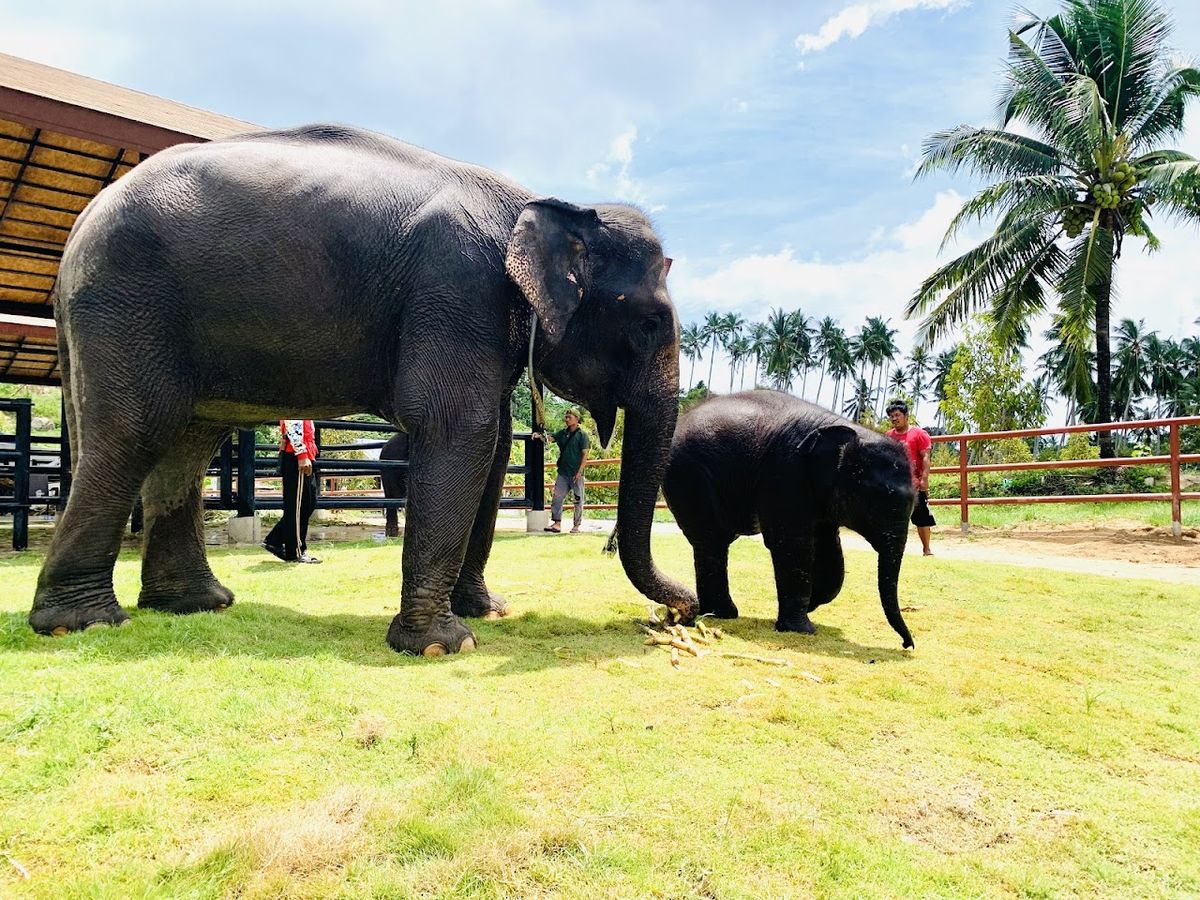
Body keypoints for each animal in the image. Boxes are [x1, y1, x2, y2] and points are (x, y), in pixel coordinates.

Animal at [31, 123, 697, 655]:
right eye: (648, 324)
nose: (684, 610)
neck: (542, 205)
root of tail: (80, 224)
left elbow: (494, 447)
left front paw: (488, 613)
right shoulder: (456, 286)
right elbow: (460, 428)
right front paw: (442, 646)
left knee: (188, 444)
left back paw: (197, 604)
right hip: (126, 301)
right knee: (136, 429)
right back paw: (81, 624)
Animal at [662, 390, 916, 649]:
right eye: (877, 504)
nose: (907, 645)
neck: (849, 430)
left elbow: (829, 549)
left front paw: (811, 604)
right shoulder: (786, 472)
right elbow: (792, 544)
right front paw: (801, 629)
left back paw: (719, 613)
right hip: (689, 476)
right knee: (711, 540)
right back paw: (722, 613)